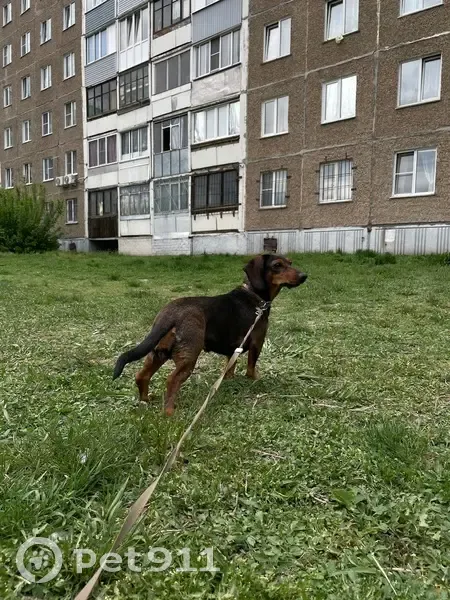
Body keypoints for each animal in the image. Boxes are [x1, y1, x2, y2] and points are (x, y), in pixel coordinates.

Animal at [113, 254, 307, 415]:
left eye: (290, 263)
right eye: (277, 265)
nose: (304, 275)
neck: (254, 295)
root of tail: (169, 313)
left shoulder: (232, 350)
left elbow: (229, 369)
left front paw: (229, 381)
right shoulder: (257, 343)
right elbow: (251, 369)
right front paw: (255, 380)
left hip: (157, 353)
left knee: (141, 376)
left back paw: (145, 400)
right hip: (188, 357)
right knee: (171, 380)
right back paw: (169, 412)